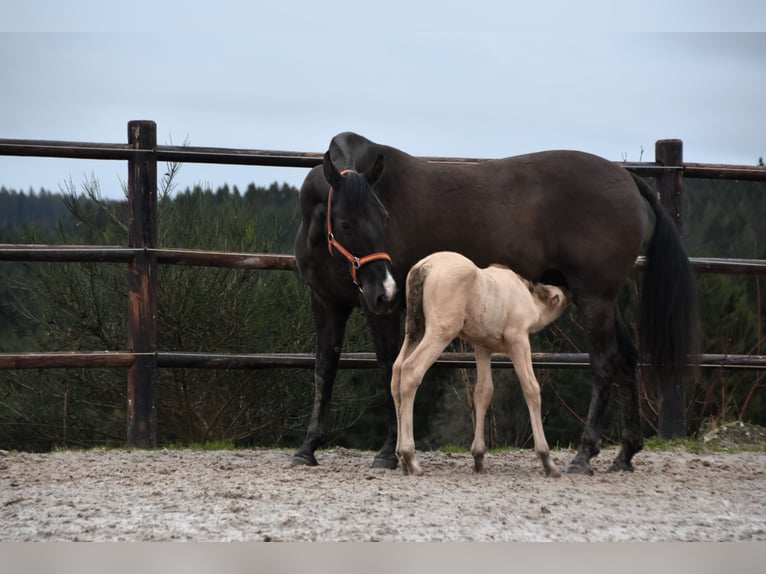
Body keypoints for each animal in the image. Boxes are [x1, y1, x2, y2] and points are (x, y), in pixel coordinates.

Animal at [396, 252, 568, 476]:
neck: (528, 299)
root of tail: (424, 267)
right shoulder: (517, 339)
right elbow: (531, 388)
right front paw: (548, 461)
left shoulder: (482, 347)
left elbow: (483, 391)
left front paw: (478, 458)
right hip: (441, 331)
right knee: (411, 370)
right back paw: (411, 458)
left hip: (415, 331)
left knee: (396, 372)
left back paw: (401, 459)